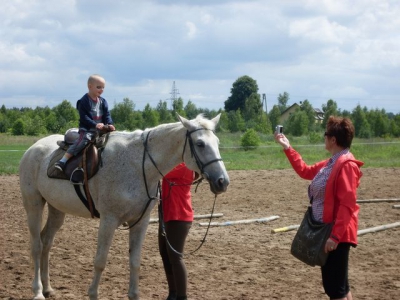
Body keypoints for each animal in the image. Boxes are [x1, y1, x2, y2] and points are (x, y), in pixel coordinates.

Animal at [19, 113, 231, 298]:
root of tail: (33, 149)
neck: (138, 165)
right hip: (34, 205)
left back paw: (48, 288)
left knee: (46, 242)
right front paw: (93, 294)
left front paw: (134, 295)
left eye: (217, 143)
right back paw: (38, 292)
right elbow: (100, 261)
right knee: (37, 246)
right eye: (200, 144)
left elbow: (135, 261)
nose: (222, 181)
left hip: (57, 209)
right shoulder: (108, 220)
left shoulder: (140, 222)